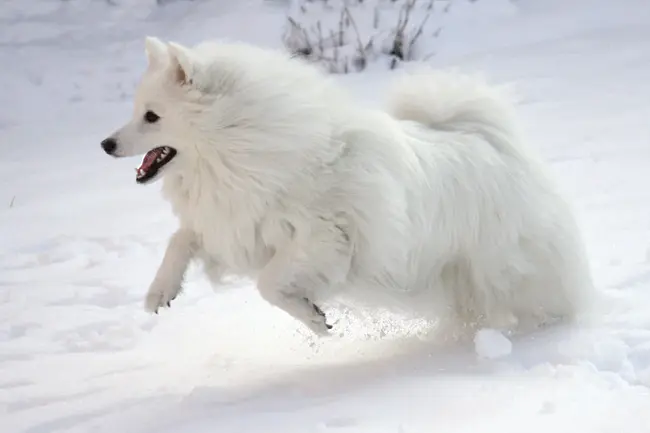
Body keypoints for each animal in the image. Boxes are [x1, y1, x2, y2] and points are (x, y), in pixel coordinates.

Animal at [101, 36, 592, 334]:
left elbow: (269, 285)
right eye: (136, 111)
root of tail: (489, 139)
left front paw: (315, 319)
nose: (105, 144)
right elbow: (181, 239)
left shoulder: (322, 237)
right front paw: (159, 293)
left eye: (152, 116)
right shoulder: (239, 228)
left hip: (505, 268)